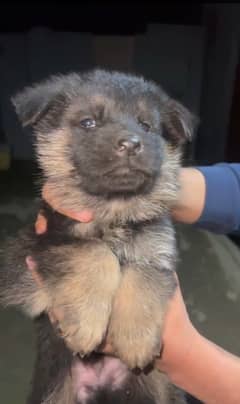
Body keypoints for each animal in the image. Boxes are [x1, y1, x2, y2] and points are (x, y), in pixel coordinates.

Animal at [0, 70, 195, 404]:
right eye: (88, 122)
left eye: (146, 126)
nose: (131, 144)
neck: (113, 212)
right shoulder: (41, 247)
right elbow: (93, 252)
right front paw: (85, 322)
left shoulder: (158, 254)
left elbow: (141, 273)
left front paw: (135, 339)